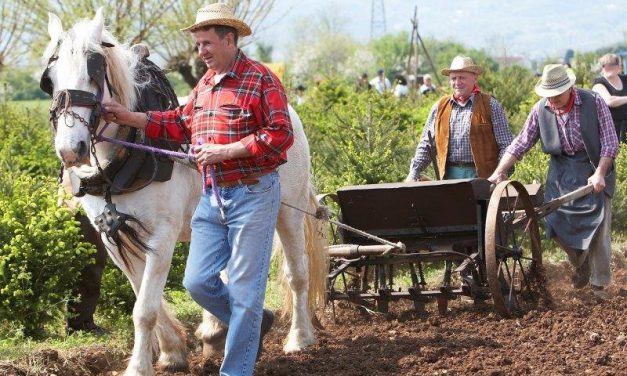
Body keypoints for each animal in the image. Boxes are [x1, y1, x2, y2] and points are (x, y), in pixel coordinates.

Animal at [44, 9, 328, 376]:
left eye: (94, 72)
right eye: (50, 78)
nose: (71, 149)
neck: (123, 159)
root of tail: (291, 111)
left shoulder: (160, 235)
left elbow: (144, 309)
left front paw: (139, 367)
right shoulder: (114, 237)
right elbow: (144, 297)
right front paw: (171, 352)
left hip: (288, 211)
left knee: (297, 274)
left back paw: (299, 337)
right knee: (220, 274)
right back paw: (214, 330)